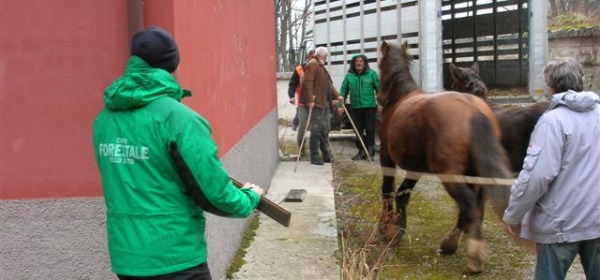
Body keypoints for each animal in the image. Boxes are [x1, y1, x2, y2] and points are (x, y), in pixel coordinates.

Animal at [378, 41, 508, 274]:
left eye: (380, 63)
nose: (379, 98)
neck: (401, 96)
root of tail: (474, 109)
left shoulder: (386, 157)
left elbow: (388, 191)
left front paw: (385, 229)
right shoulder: (415, 168)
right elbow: (403, 194)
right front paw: (398, 229)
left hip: (450, 175)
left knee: (469, 204)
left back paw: (472, 257)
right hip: (475, 175)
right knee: (475, 206)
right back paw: (454, 244)